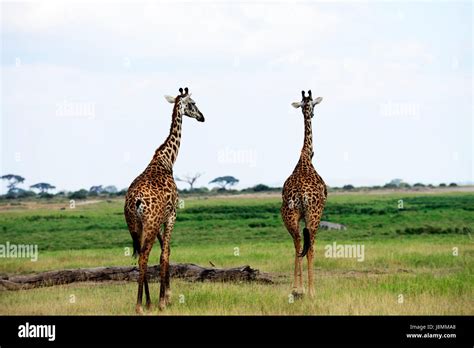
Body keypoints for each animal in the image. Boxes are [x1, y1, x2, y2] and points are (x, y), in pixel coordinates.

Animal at [124, 87, 204, 312]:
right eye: (193, 103)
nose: (202, 117)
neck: (166, 160)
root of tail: (135, 202)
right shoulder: (172, 215)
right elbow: (165, 254)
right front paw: (163, 300)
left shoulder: (160, 220)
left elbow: (165, 252)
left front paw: (163, 297)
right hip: (149, 223)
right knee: (144, 255)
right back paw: (140, 306)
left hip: (135, 225)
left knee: (140, 255)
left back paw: (146, 303)